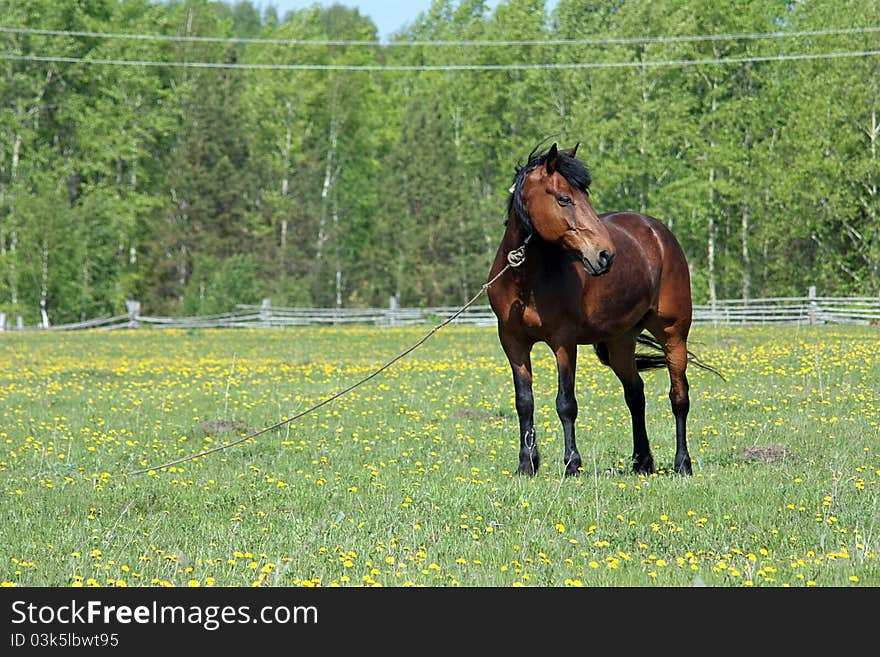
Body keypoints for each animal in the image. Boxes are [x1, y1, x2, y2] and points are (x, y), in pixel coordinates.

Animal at [484, 141, 720, 474]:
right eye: (564, 198)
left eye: (585, 196)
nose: (605, 255)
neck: (526, 280)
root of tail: (658, 232)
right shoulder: (513, 342)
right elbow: (524, 401)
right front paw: (526, 464)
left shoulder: (564, 342)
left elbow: (566, 403)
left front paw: (571, 464)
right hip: (620, 342)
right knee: (635, 393)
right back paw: (641, 462)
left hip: (673, 333)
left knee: (679, 396)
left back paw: (682, 464)